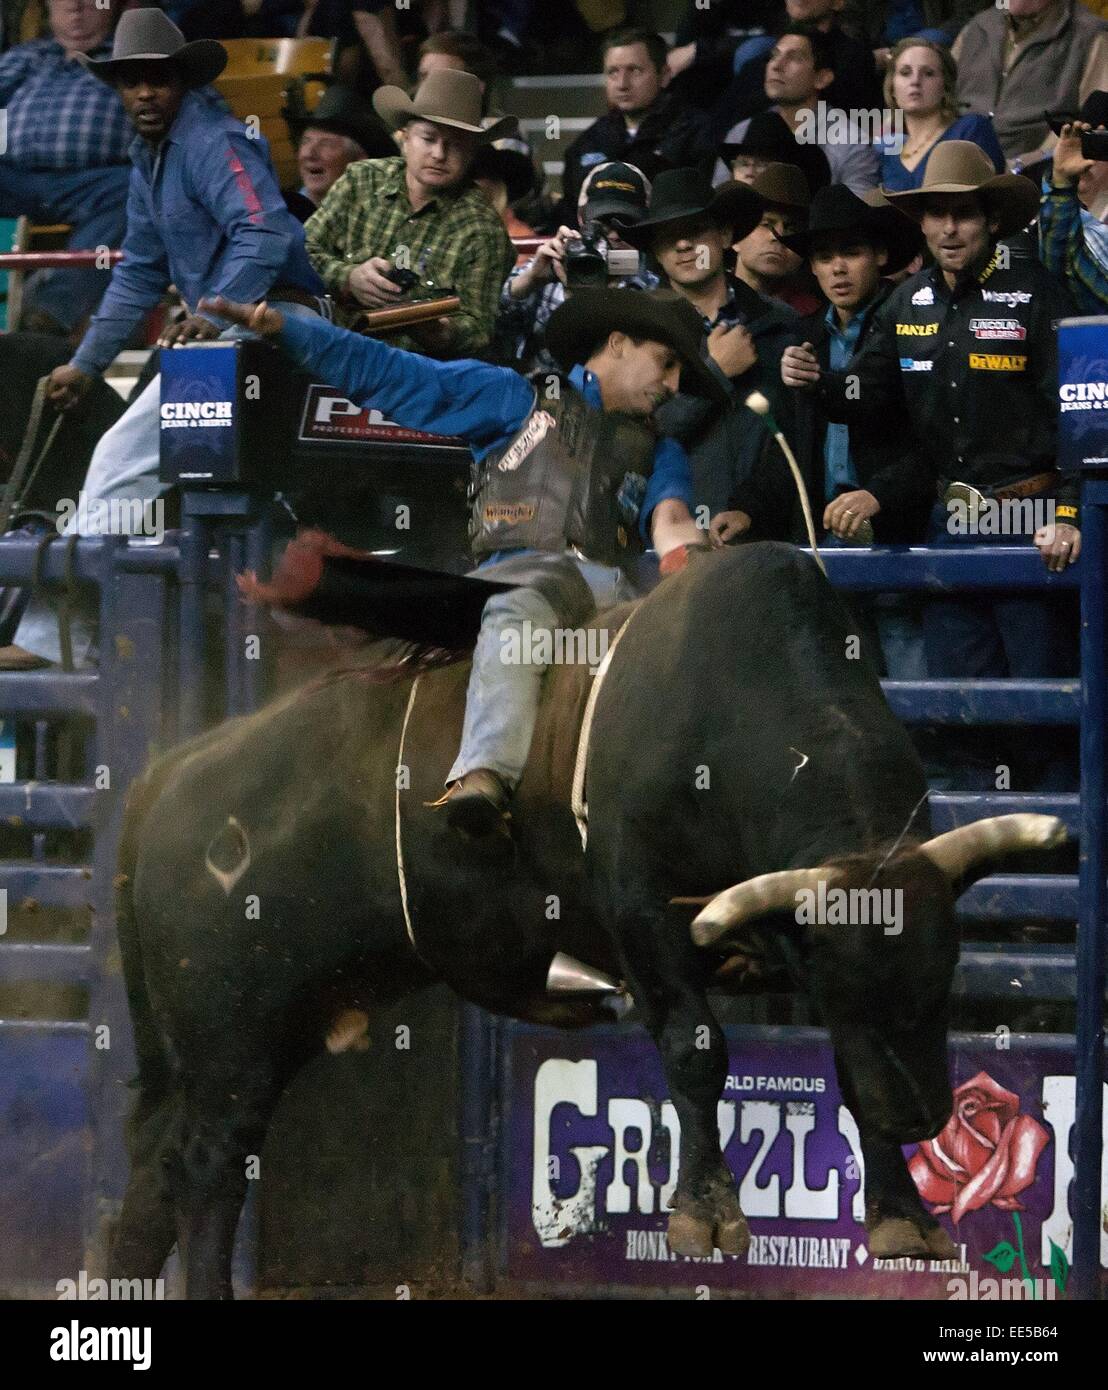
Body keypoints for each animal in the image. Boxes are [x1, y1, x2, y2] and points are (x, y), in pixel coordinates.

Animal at [108, 542, 1063, 1296]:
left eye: (943, 976)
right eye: (844, 977)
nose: (922, 1117)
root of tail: (169, 777)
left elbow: (848, 1071)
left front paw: (904, 1216)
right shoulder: (643, 910)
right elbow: (697, 1049)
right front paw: (703, 1212)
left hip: (250, 1033)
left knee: (154, 1173)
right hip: (234, 1039)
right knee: (208, 1168)